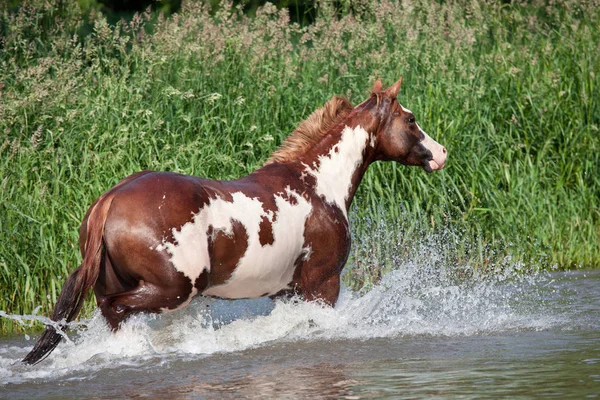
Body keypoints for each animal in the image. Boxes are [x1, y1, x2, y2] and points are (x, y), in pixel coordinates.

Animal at [22, 76, 446, 364]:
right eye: (410, 120)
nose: (440, 152)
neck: (317, 184)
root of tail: (108, 201)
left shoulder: (288, 291)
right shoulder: (324, 285)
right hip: (174, 288)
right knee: (116, 309)